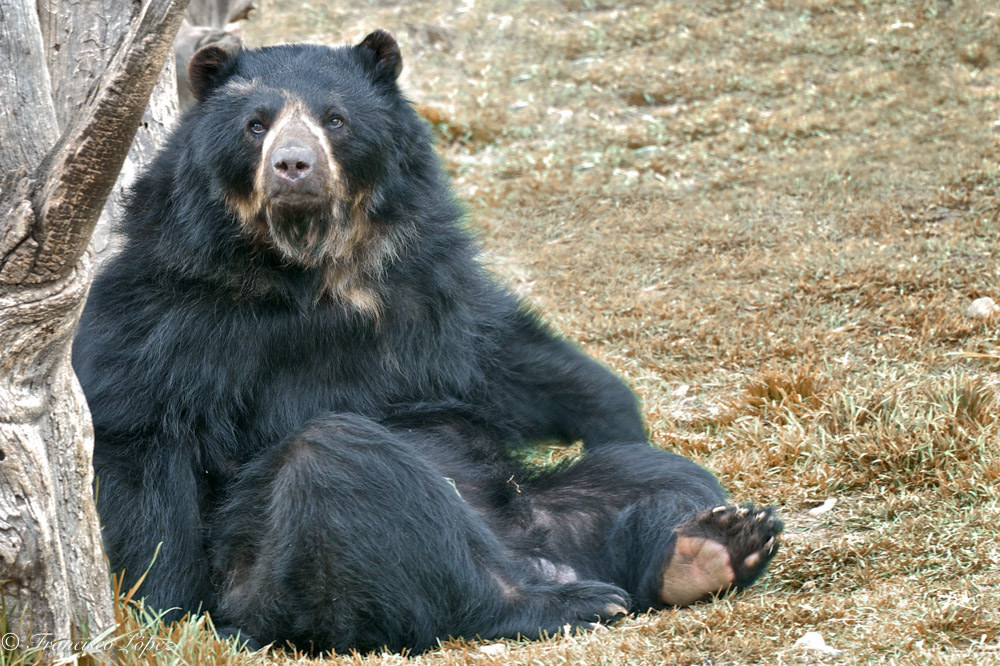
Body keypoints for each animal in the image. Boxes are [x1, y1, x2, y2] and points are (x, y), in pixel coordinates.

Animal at [74, 29, 784, 648]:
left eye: (336, 120)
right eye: (256, 123)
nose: (293, 166)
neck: (315, 268)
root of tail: (536, 554)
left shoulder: (424, 277)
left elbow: (497, 353)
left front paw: (616, 414)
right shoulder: (170, 308)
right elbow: (138, 432)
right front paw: (168, 610)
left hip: (540, 509)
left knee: (656, 475)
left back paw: (712, 545)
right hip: (276, 572)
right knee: (340, 467)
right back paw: (567, 599)